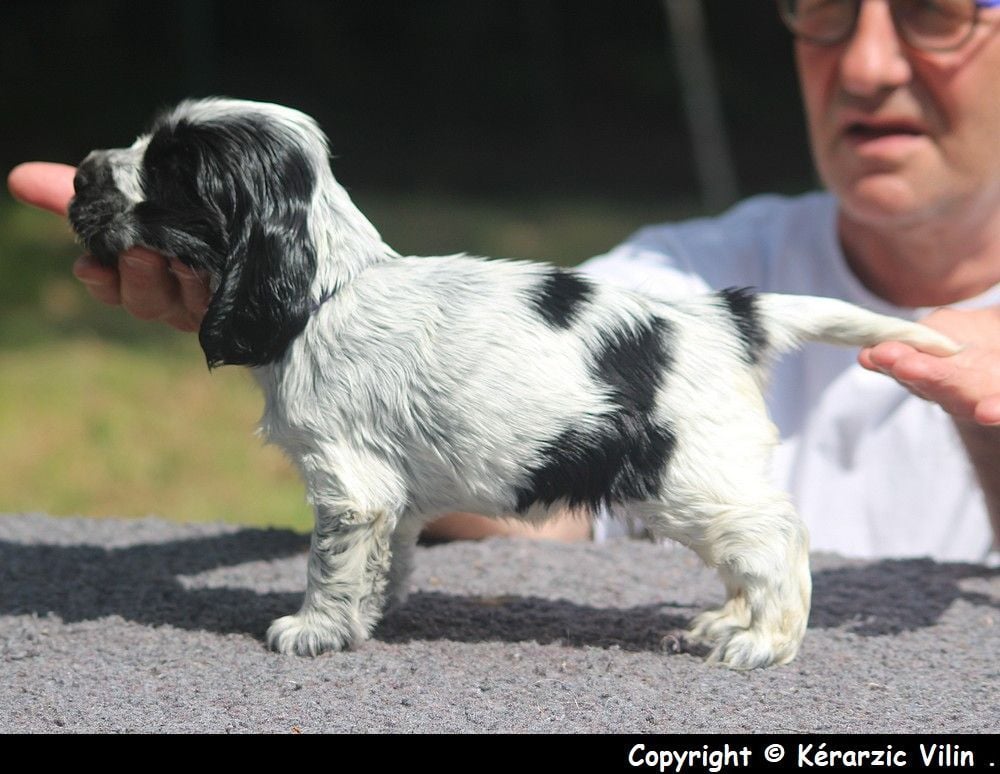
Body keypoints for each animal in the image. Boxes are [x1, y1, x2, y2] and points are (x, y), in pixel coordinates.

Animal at [66, 98, 956, 672]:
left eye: (171, 170)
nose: (80, 174)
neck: (328, 287)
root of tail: (727, 315)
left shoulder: (348, 482)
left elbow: (331, 561)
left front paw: (314, 630)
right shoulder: (392, 495)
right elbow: (387, 558)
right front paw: (369, 616)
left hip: (693, 480)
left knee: (778, 541)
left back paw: (762, 642)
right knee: (749, 554)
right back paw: (719, 622)